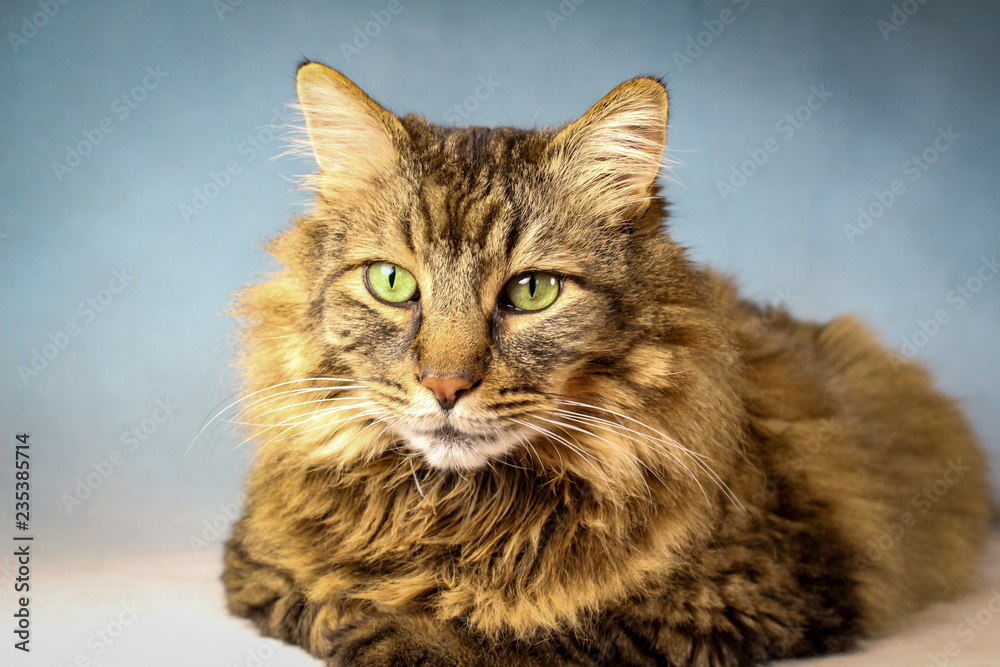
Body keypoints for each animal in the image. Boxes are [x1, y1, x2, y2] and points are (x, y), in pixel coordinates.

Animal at [223, 62, 996, 667]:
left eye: (533, 291)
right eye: (391, 282)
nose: (445, 385)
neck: (458, 511)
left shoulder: (751, 587)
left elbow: (550, 627)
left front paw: (396, 632)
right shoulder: (255, 564)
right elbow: (309, 599)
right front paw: (353, 615)